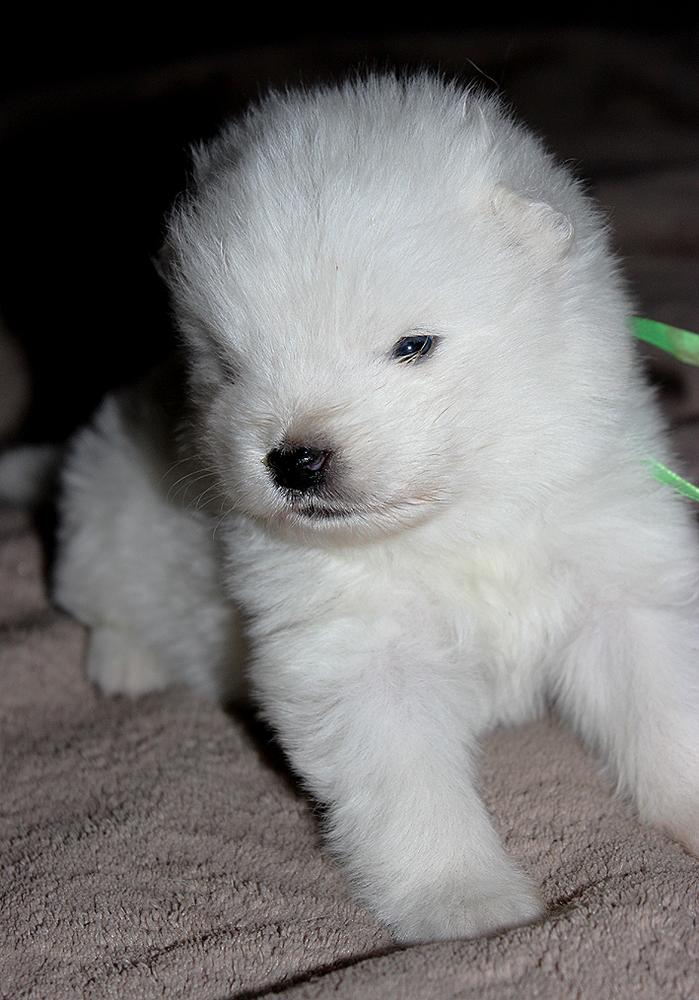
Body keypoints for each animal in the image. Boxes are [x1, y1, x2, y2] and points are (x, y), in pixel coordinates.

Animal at [54, 74, 699, 940]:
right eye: (228, 364)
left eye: (412, 346)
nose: (294, 460)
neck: (460, 518)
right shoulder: (358, 661)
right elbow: (412, 797)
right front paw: (467, 907)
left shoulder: (622, 591)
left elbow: (664, 713)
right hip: (102, 502)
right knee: (99, 605)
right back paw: (127, 665)